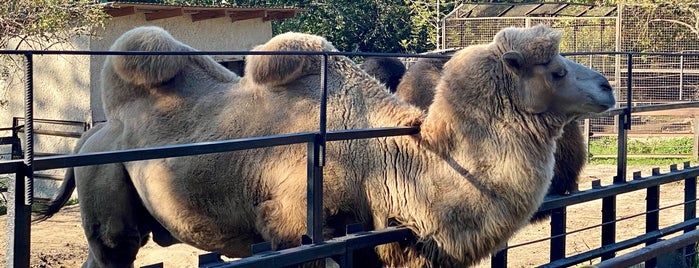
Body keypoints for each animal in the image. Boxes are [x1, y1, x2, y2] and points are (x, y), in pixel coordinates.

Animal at [41, 24, 616, 266]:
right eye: (556, 70)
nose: (609, 87)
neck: (385, 157)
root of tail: (93, 133)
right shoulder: (293, 232)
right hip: (107, 194)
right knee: (114, 247)